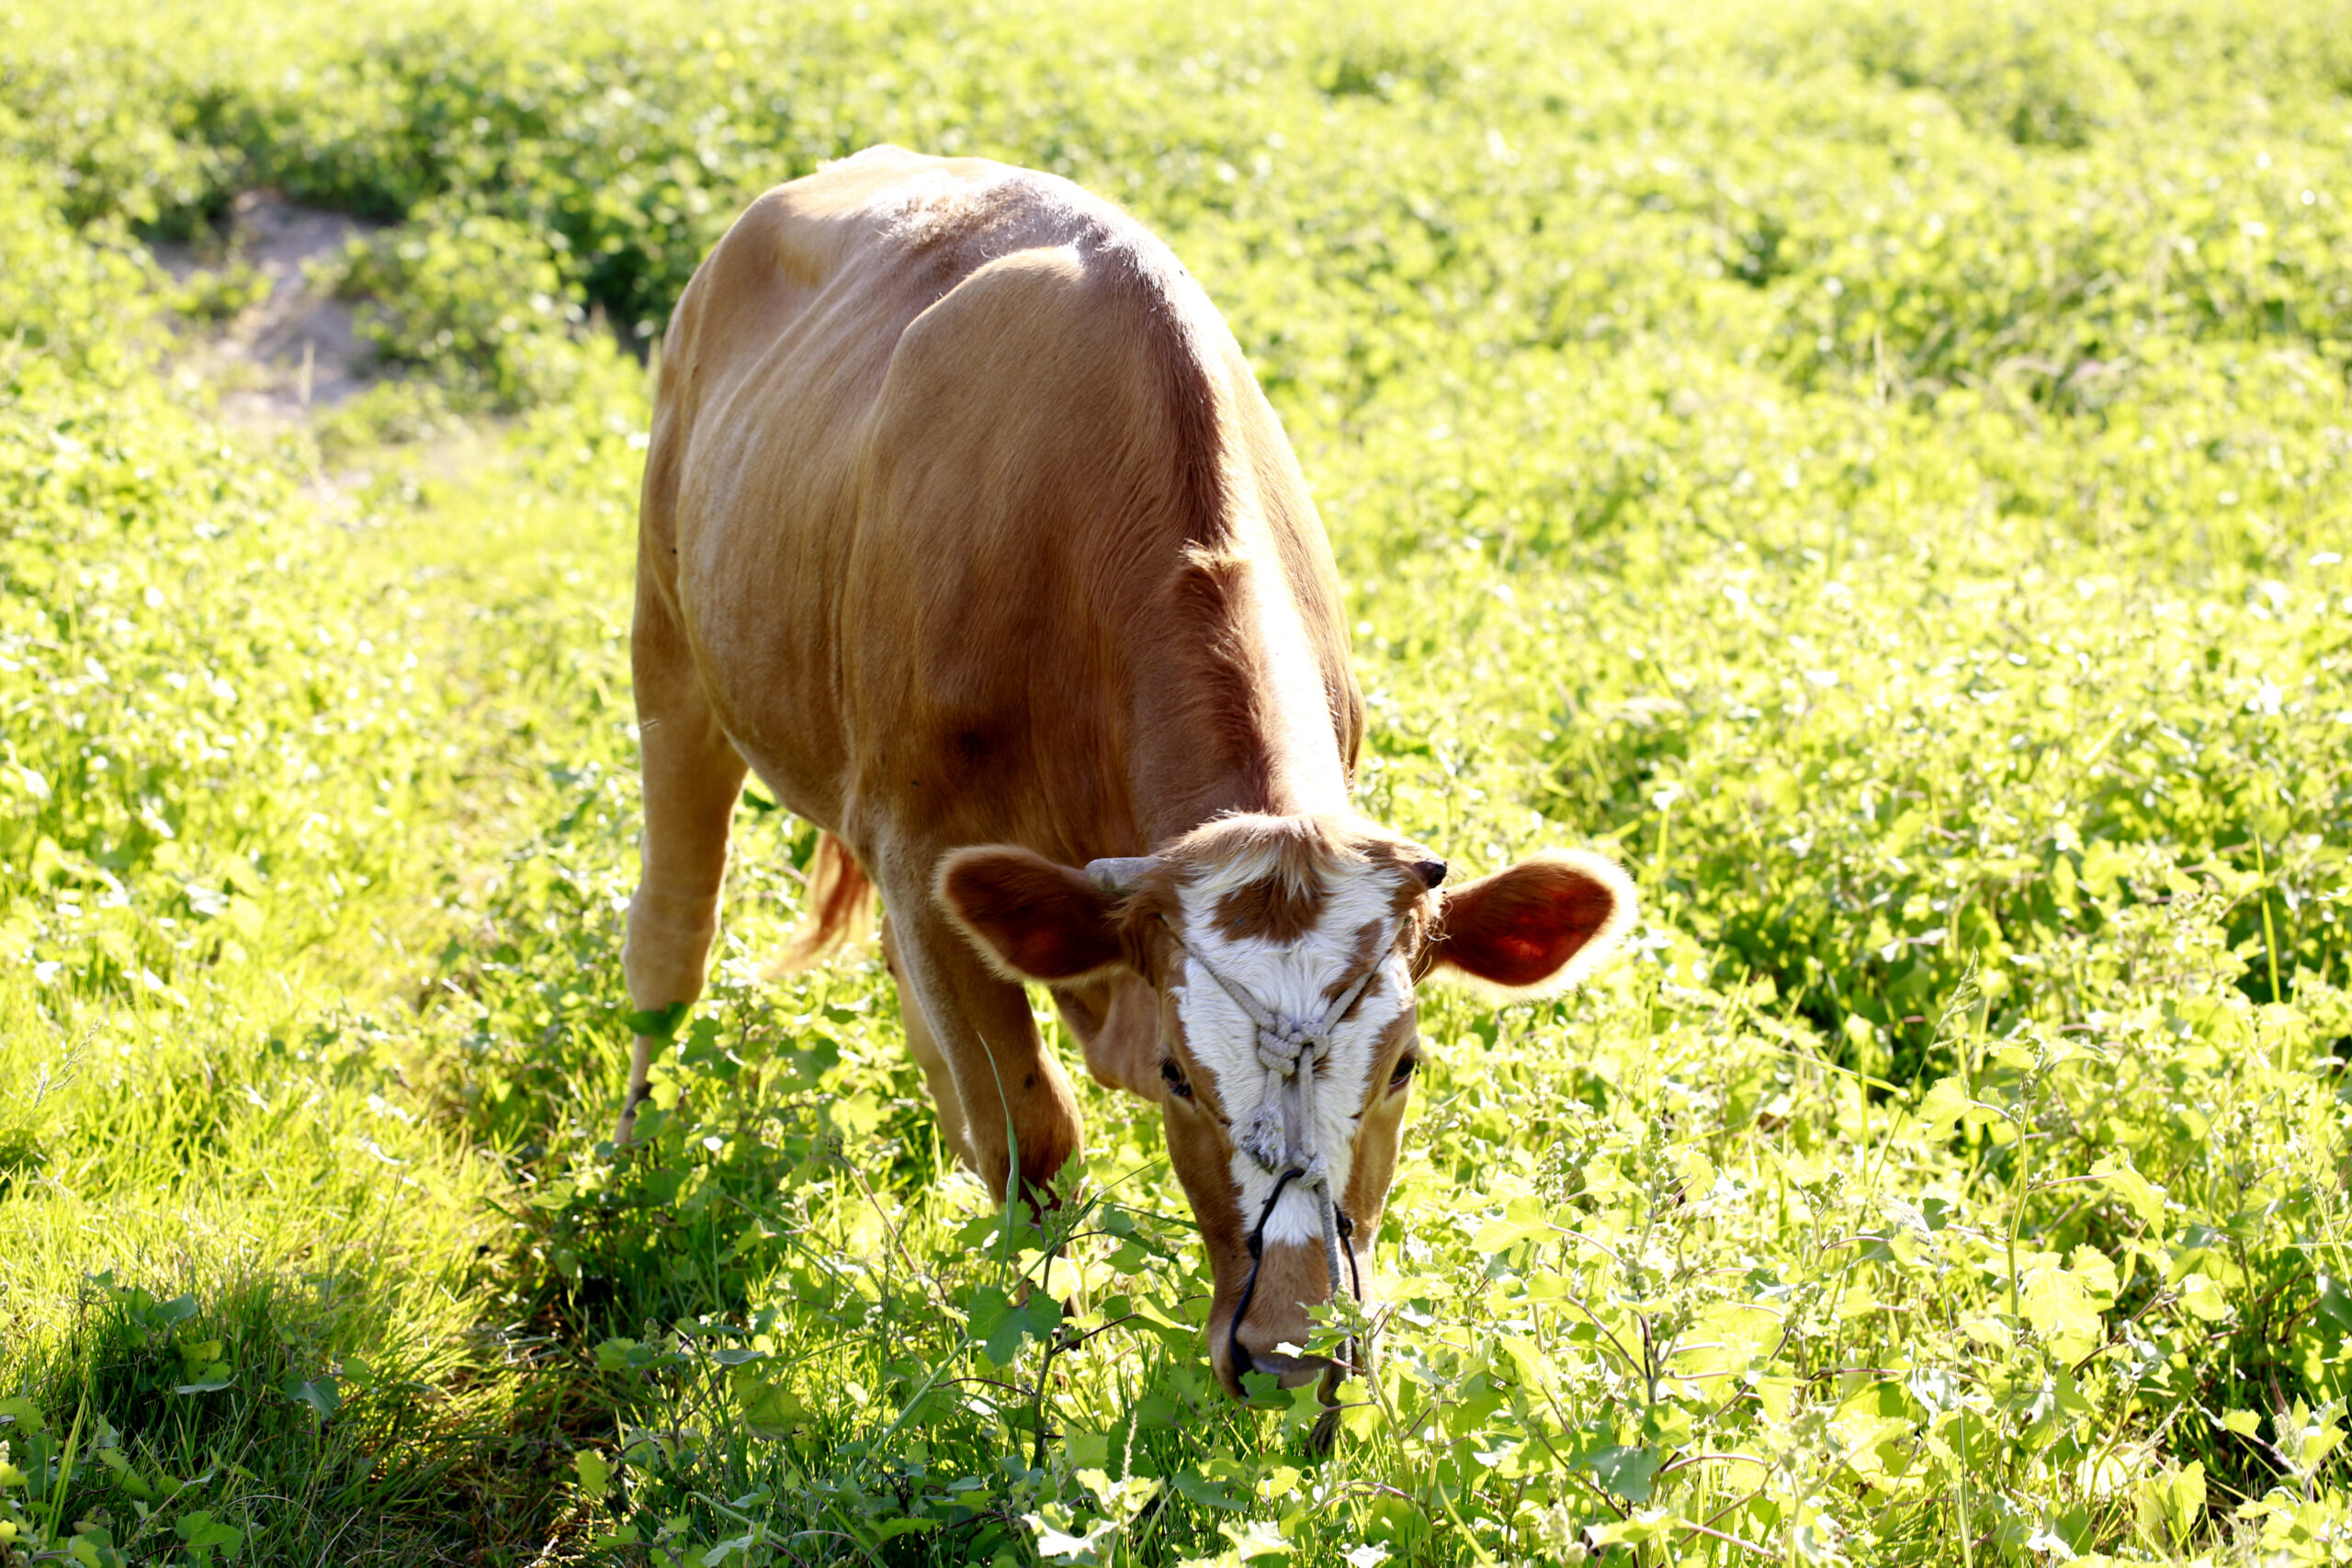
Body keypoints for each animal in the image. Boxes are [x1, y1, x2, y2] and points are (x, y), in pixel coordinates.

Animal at [616, 146, 1627, 1401]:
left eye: (1404, 1066)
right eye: (1181, 1074)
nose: (1289, 1352)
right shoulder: (921, 853)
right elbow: (1029, 1140)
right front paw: (1028, 1362)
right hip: (670, 649)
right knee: (669, 943)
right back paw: (625, 1171)